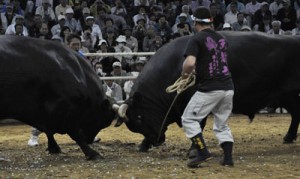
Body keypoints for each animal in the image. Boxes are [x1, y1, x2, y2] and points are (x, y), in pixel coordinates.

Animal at [121, 31, 300, 151]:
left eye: (139, 118)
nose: (156, 140)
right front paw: (143, 144)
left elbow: (198, 124)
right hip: (287, 96)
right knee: (295, 114)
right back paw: (289, 137)